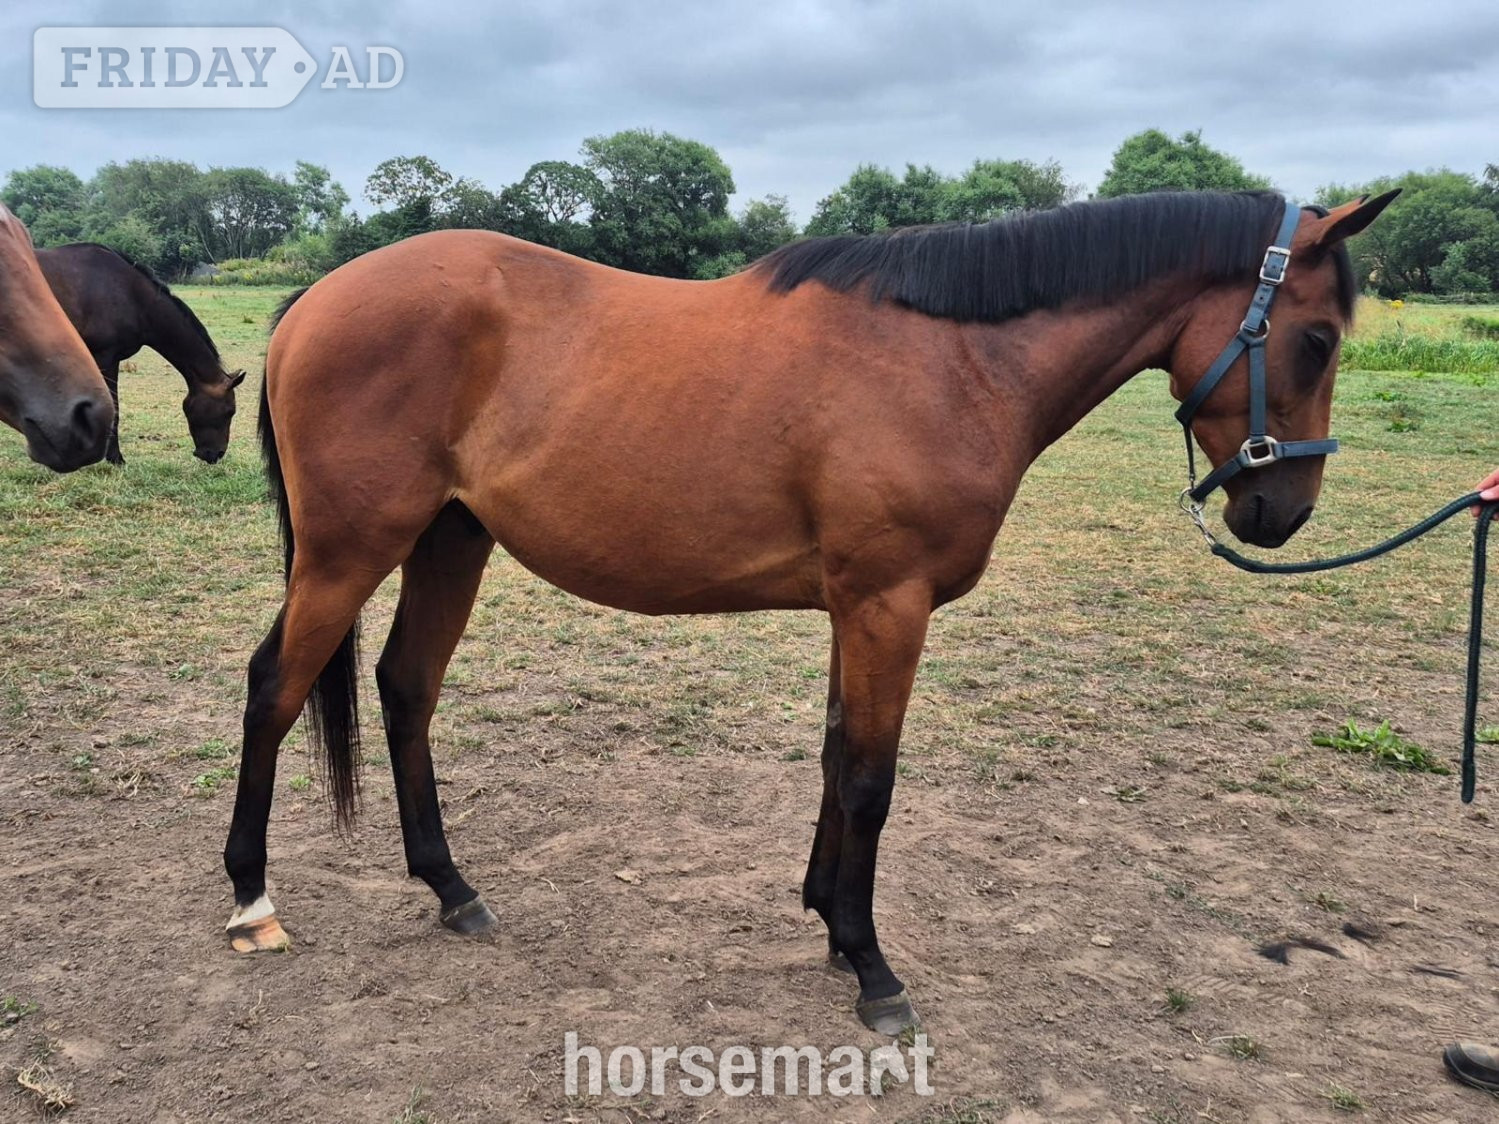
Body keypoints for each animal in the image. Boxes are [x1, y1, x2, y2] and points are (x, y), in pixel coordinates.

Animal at [36, 244, 245, 465]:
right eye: (229, 411)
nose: (215, 454)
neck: (130, 295)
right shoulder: (106, 358)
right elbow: (114, 408)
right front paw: (115, 458)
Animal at [223, 189, 1398, 1034]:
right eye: (1315, 340)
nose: (1281, 511)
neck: (956, 357)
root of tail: (313, 301)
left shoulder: (857, 606)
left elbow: (838, 756)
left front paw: (830, 922)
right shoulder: (888, 603)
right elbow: (872, 779)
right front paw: (872, 969)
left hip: (449, 541)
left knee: (403, 688)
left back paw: (450, 886)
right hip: (347, 551)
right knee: (275, 688)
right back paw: (251, 902)